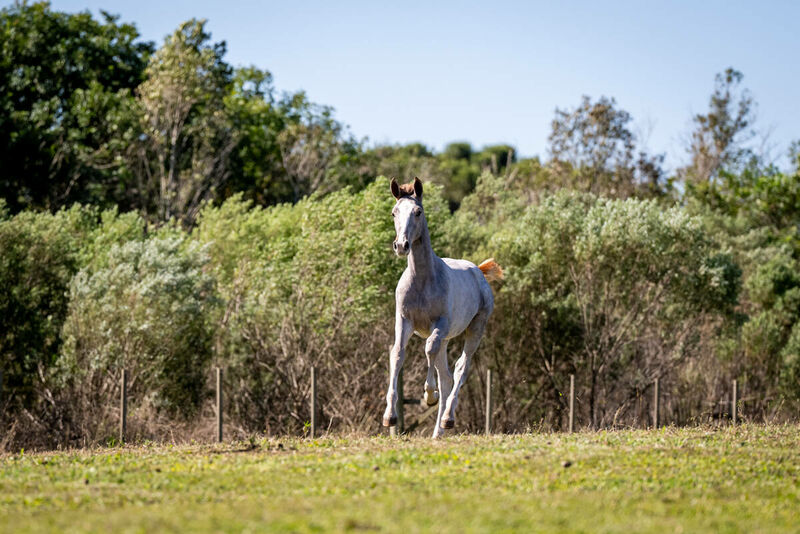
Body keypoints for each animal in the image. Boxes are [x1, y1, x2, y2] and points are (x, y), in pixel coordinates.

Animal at [382, 178, 500, 438]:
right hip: (447, 338)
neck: (423, 280)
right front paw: (389, 416)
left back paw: (447, 418)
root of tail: (478, 270)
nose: (401, 245)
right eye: (394, 212)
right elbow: (397, 354)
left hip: (475, 329)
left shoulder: (440, 324)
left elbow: (428, 349)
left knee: (460, 369)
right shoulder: (403, 320)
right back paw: (437, 433)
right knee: (446, 377)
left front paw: (429, 395)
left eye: (418, 211)